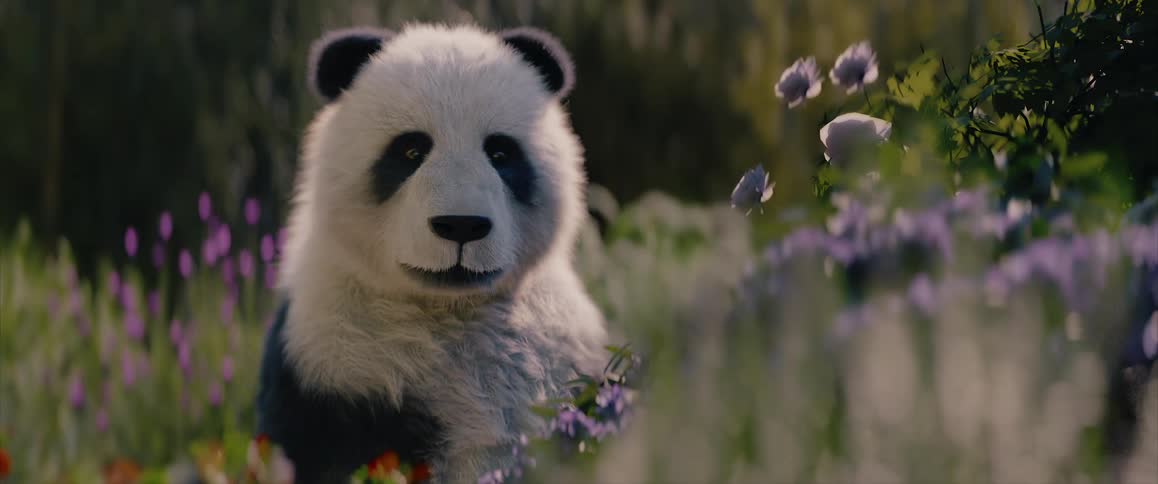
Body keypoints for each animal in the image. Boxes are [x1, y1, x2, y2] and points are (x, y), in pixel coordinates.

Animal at [256, 24, 608, 483]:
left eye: (500, 152)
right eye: (410, 150)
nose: (461, 225)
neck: (449, 309)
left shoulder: (562, 357)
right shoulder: (330, 361)